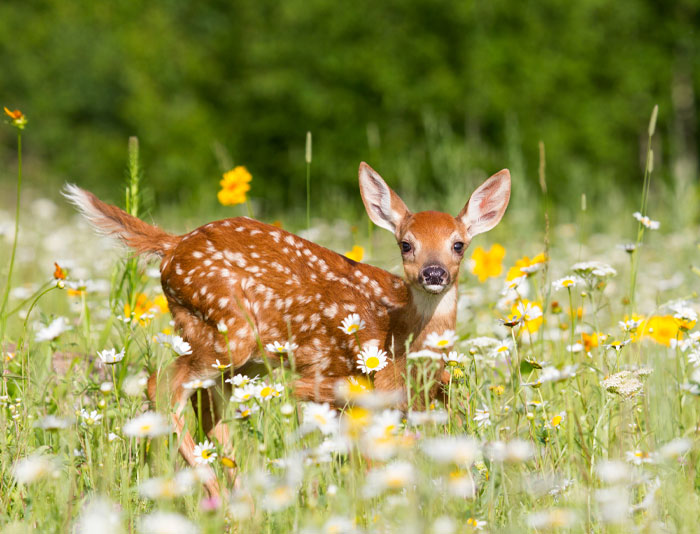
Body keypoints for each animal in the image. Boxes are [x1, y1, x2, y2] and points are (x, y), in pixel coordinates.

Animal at [64, 162, 510, 496]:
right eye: (406, 244)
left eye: (458, 244)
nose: (434, 273)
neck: (397, 334)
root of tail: (173, 245)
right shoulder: (338, 386)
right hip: (228, 330)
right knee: (162, 385)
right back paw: (217, 492)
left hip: (237, 355)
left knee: (206, 405)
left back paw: (241, 493)